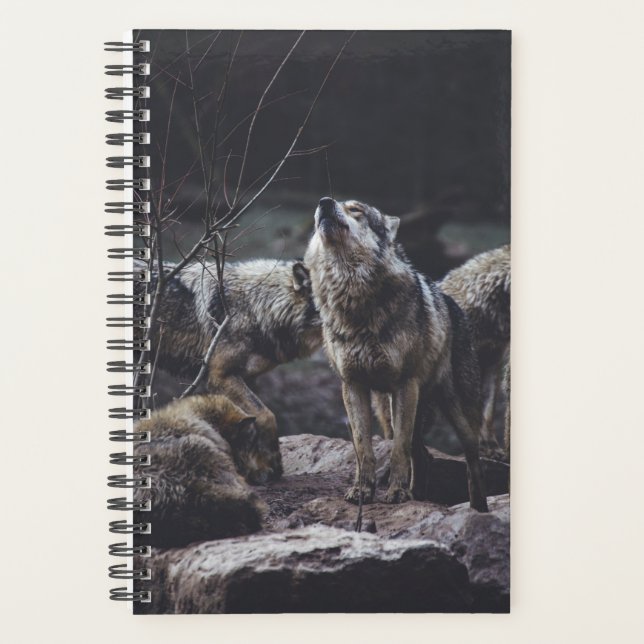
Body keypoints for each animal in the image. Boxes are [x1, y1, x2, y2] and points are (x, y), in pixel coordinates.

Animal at [136, 258, 322, 483]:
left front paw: (258, 469)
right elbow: (266, 415)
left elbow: (249, 424)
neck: (256, 307)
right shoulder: (221, 376)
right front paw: (273, 463)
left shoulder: (248, 378)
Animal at [304, 197, 488, 511]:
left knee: (471, 459)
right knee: (423, 455)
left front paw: (397, 493)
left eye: (356, 209)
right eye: (329, 204)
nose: (324, 202)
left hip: (456, 413)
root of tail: (452, 303)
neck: (353, 299)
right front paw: (362, 491)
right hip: (390, 410)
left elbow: (398, 451)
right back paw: (419, 495)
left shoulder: (404, 384)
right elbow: (363, 448)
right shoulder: (352, 386)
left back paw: (478, 508)